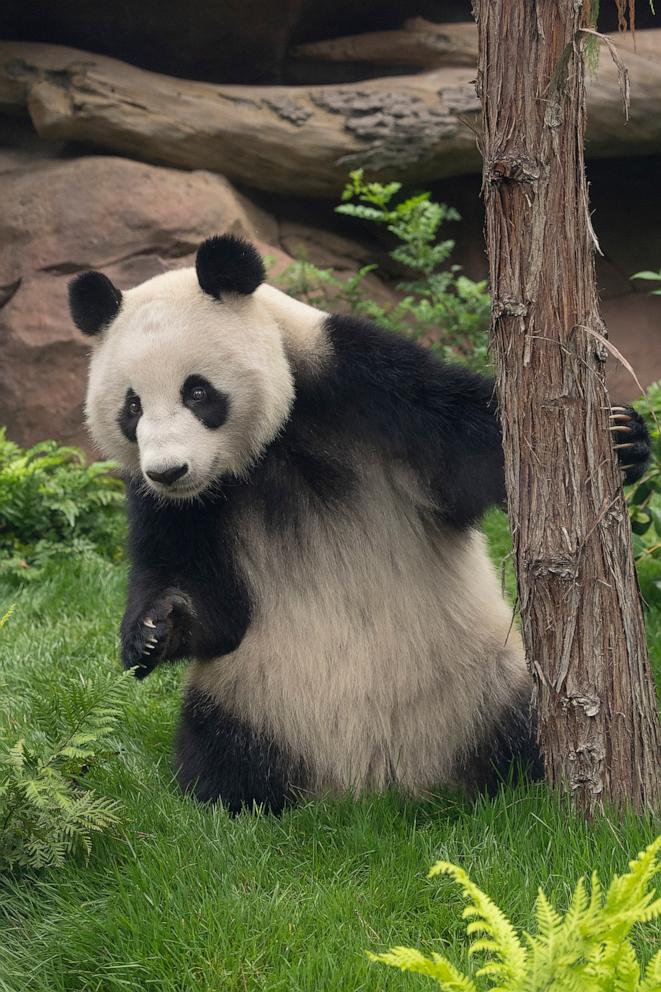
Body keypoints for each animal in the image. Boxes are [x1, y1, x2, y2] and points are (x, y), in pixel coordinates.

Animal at [68, 234, 648, 812]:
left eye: (197, 392)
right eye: (132, 407)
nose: (169, 471)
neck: (269, 447)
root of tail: (370, 788)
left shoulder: (362, 380)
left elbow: (483, 447)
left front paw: (623, 439)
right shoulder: (173, 505)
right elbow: (204, 597)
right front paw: (154, 630)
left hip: (484, 682)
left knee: (520, 730)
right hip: (251, 699)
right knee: (214, 750)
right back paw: (234, 797)